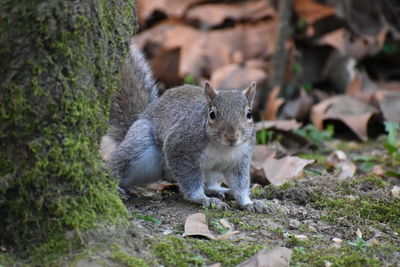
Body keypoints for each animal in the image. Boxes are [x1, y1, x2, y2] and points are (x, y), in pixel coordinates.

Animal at [100, 43, 268, 214]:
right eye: (212, 114)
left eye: (249, 114)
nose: (232, 137)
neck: (223, 148)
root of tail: (140, 116)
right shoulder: (181, 148)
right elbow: (189, 180)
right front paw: (202, 199)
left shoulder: (240, 159)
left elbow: (240, 184)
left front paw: (248, 202)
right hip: (140, 144)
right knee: (119, 165)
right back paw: (115, 185)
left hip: (212, 172)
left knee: (209, 184)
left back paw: (220, 191)